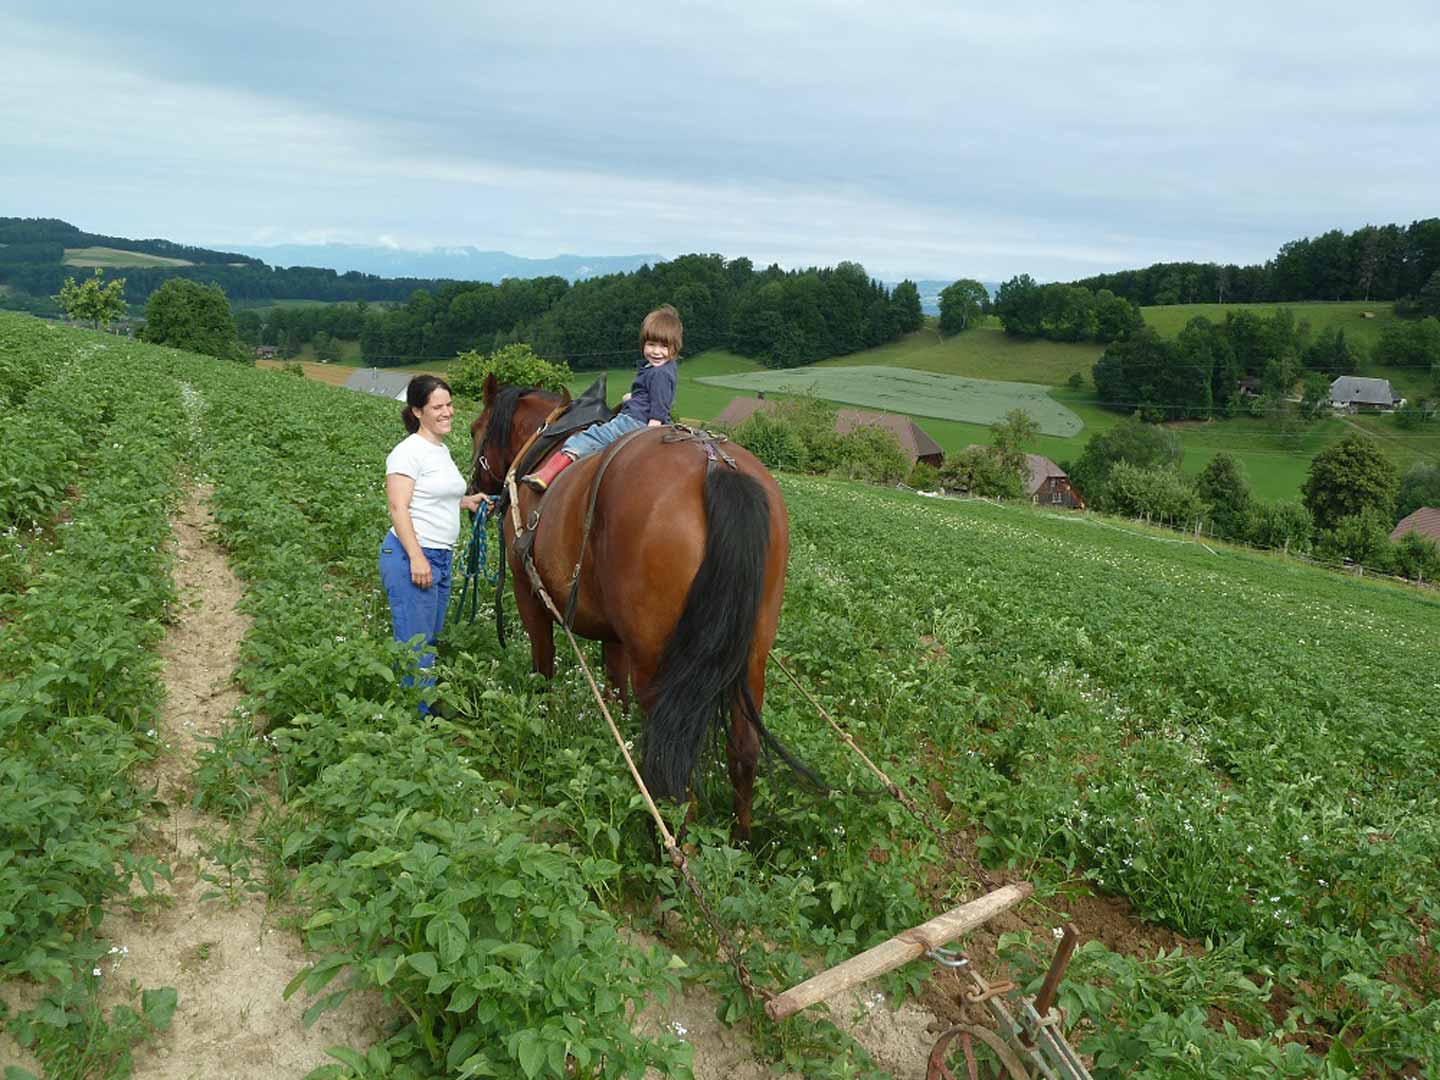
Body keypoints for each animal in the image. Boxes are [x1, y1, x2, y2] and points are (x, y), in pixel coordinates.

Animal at [466, 377, 817, 840]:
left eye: (474, 429)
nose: (472, 495)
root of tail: (716, 466)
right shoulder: (616, 633)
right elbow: (616, 691)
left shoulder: (530, 597)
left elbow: (544, 670)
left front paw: (539, 721)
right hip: (749, 658)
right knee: (744, 749)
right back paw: (739, 843)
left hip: (659, 663)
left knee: (674, 768)